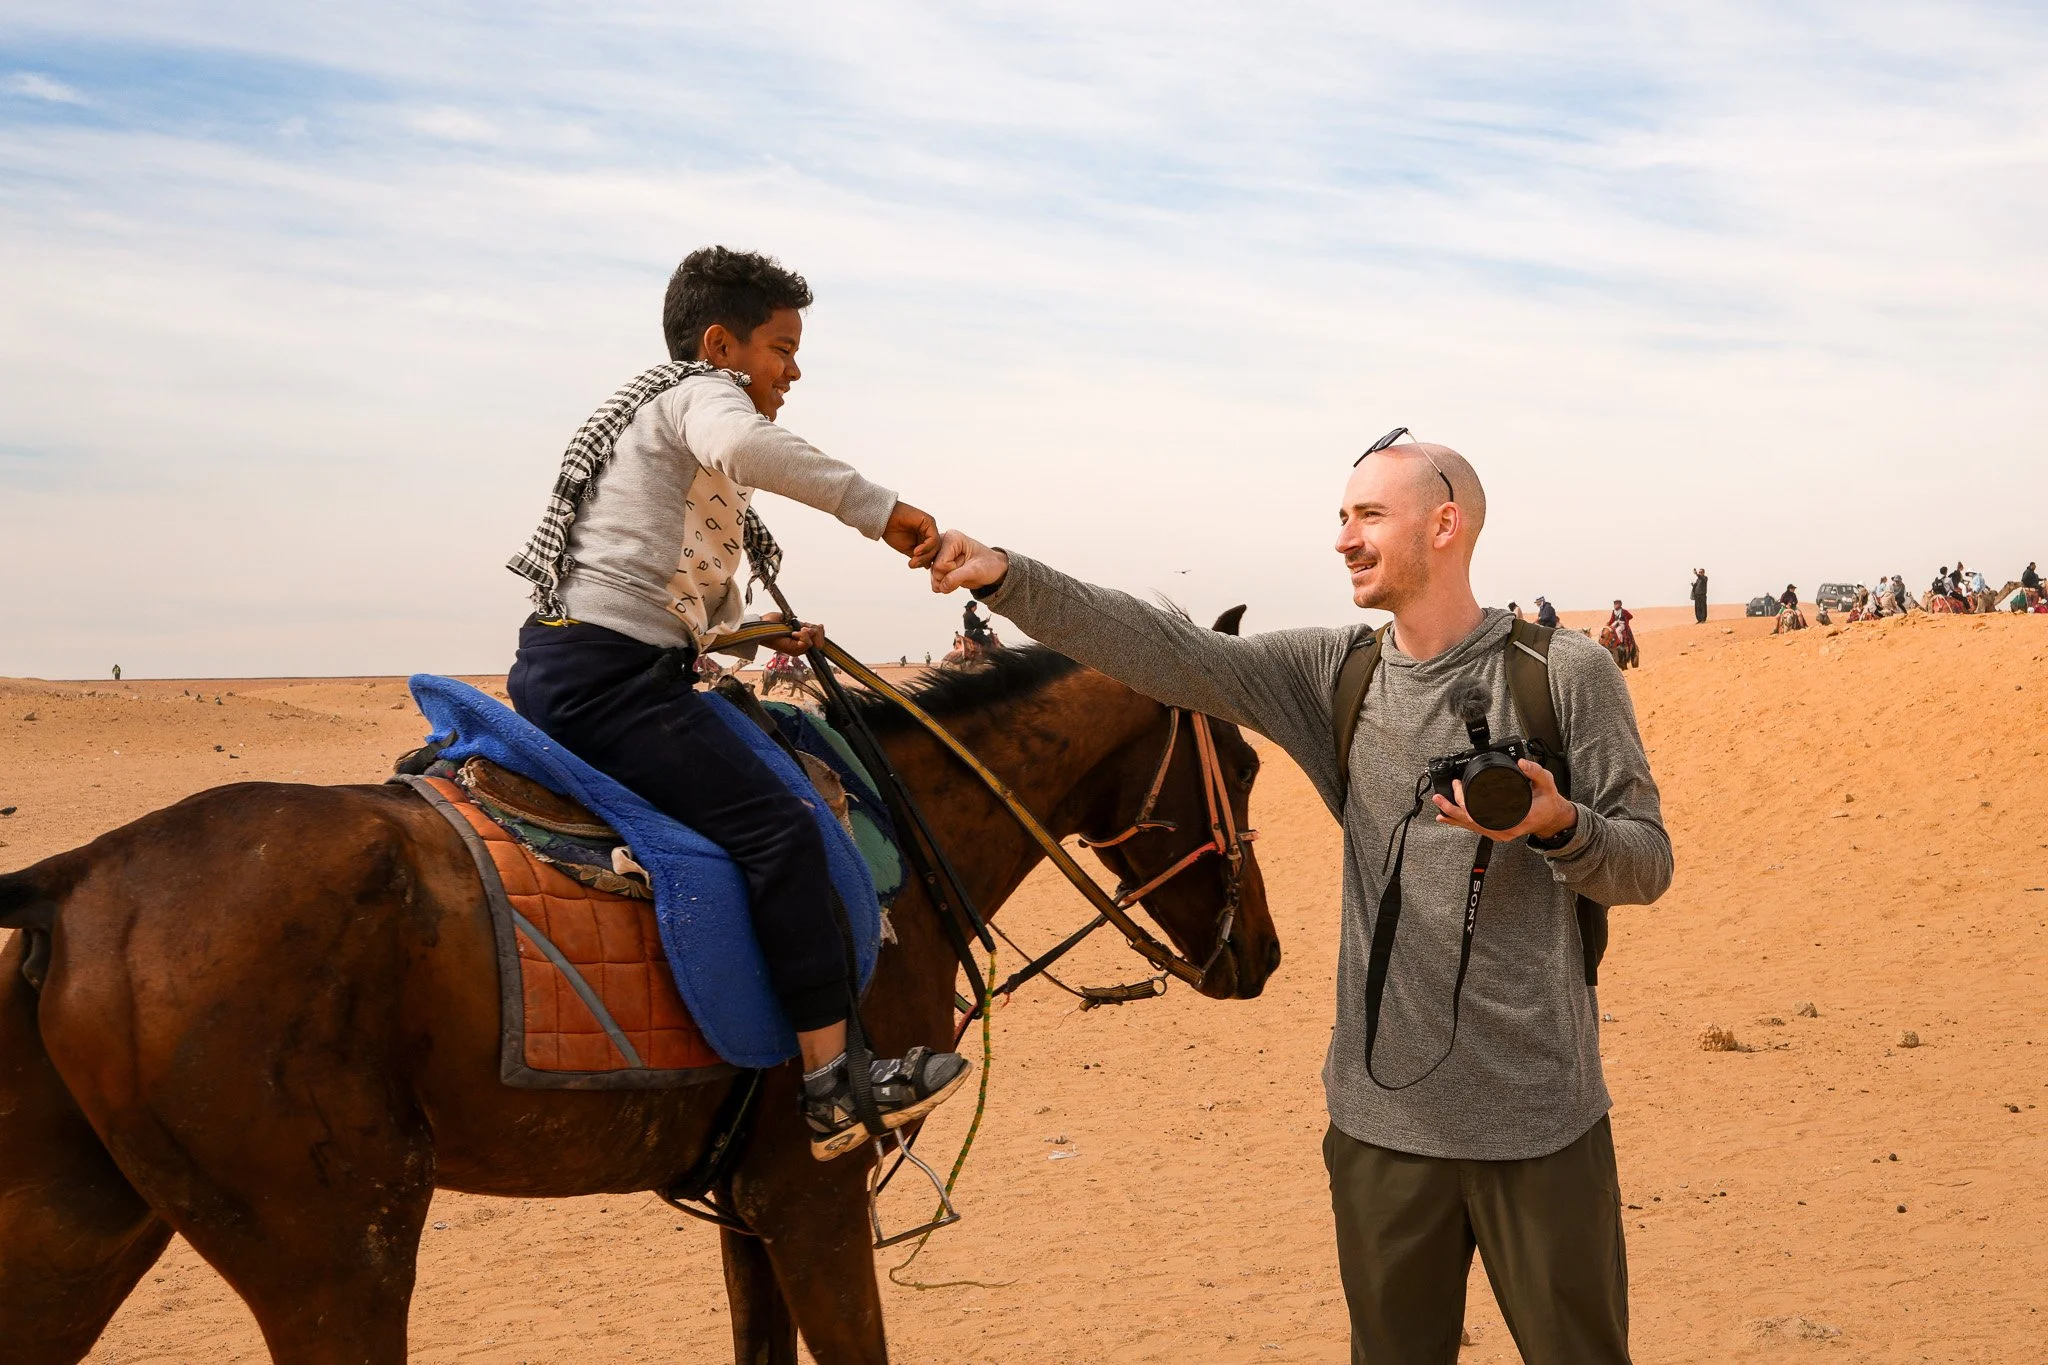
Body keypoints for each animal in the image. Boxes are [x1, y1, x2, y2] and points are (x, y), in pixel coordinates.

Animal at [0, 627, 1278, 1365]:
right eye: (1243, 759)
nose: (1260, 955)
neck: (901, 836)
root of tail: (75, 877)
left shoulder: (750, 1201)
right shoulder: (812, 1193)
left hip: (84, 1238)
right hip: (338, 1251)